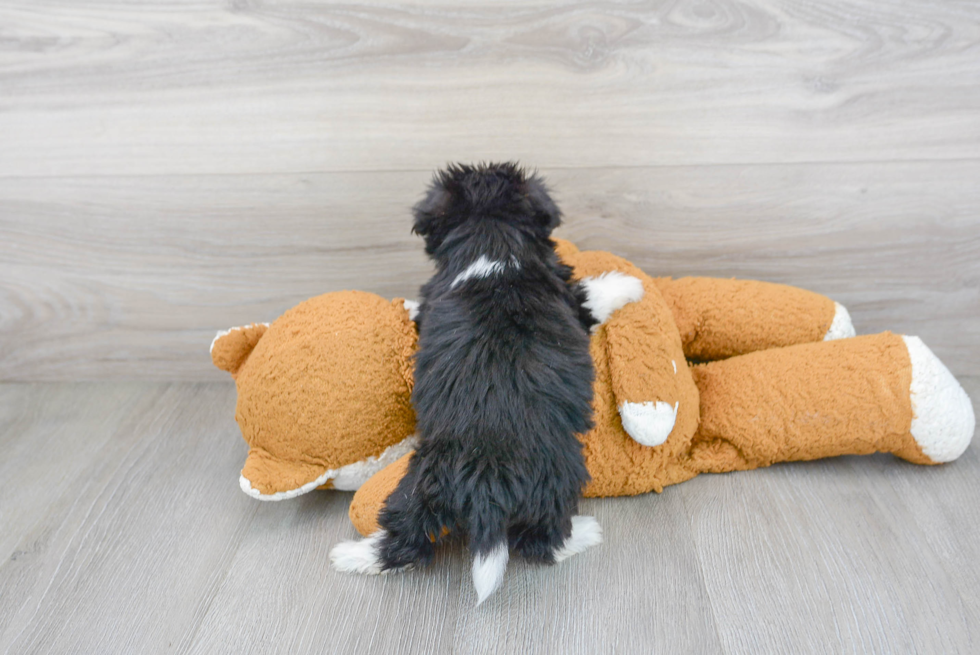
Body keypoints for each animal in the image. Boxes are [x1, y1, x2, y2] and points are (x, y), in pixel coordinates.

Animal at [334, 164, 648, 604]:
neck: (491, 239)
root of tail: (484, 480)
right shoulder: (568, 298)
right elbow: (591, 294)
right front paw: (627, 285)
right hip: (559, 472)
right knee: (540, 541)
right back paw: (584, 534)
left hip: (419, 482)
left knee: (404, 535)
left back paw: (352, 556)